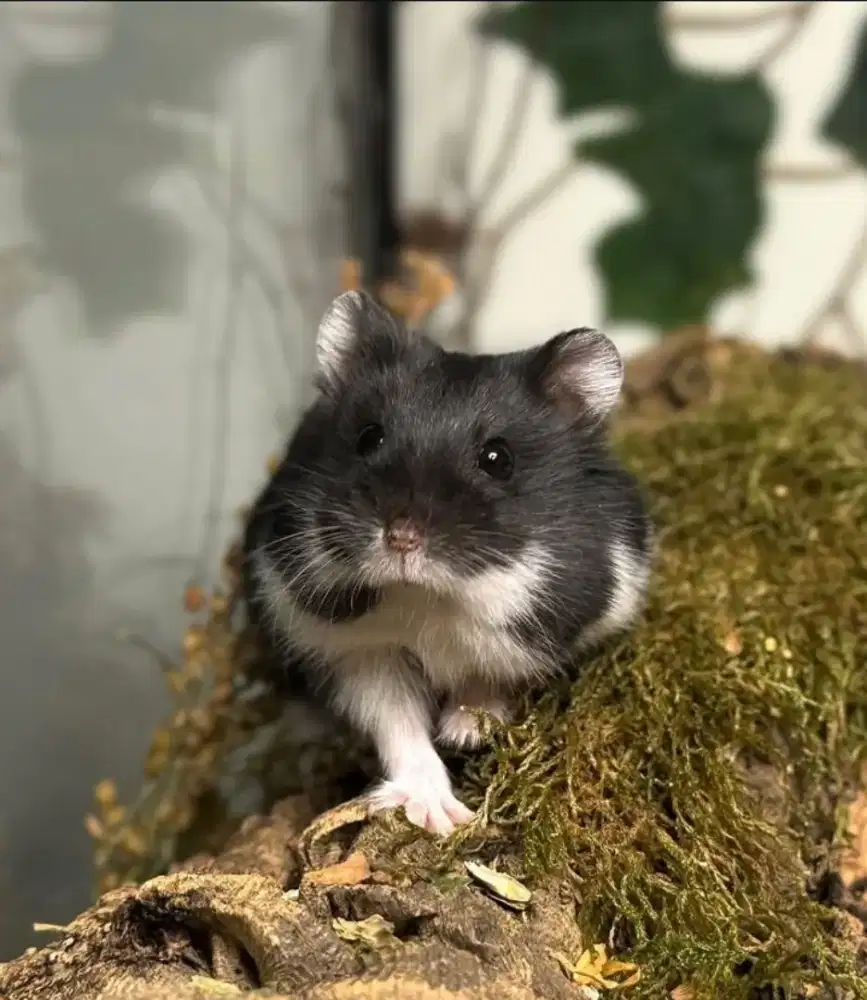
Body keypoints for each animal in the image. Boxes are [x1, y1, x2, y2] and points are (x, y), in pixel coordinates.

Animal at [243, 290, 653, 836]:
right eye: (368, 438)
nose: (400, 538)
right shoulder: (360, 651)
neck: (428, 597)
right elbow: (397, 725)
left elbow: (488, 677)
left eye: (497, 458)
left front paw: (465, 732)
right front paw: (441, 817)